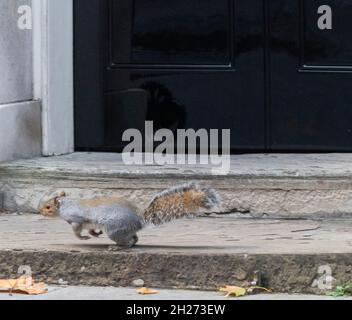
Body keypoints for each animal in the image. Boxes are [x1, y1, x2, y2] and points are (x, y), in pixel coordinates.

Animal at [39, 182, 220, 248]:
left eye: (48, 207)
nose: (39, 211)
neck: (66, 205)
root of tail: (139, 218)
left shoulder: (76, 219)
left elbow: (77, 231)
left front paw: (83, 238)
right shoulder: (89, 223)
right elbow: (91, 229)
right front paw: (95, 234)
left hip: (114, 229)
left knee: (127, 242)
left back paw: (117, 247)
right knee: (134, 238)